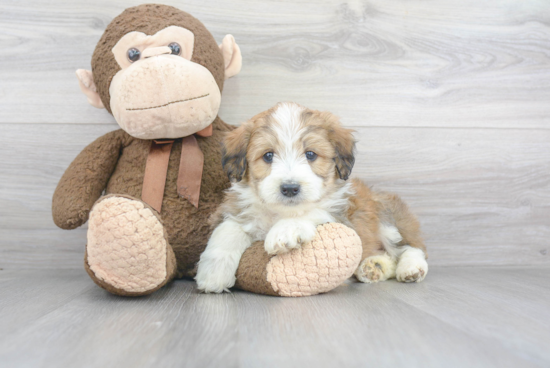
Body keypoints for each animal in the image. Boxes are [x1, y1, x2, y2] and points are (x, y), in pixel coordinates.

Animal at [196, 102, 430, 292]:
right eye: (268, 155)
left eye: (310, 154)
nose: (290, 188)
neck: (279, 212)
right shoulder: (235, 210)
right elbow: (228, 229)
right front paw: (213, 273)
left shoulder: (342, 217)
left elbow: (315, 211)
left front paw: (286, 230)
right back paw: (373, 266)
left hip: (386, 217)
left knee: (411, 246)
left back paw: (411, 267)